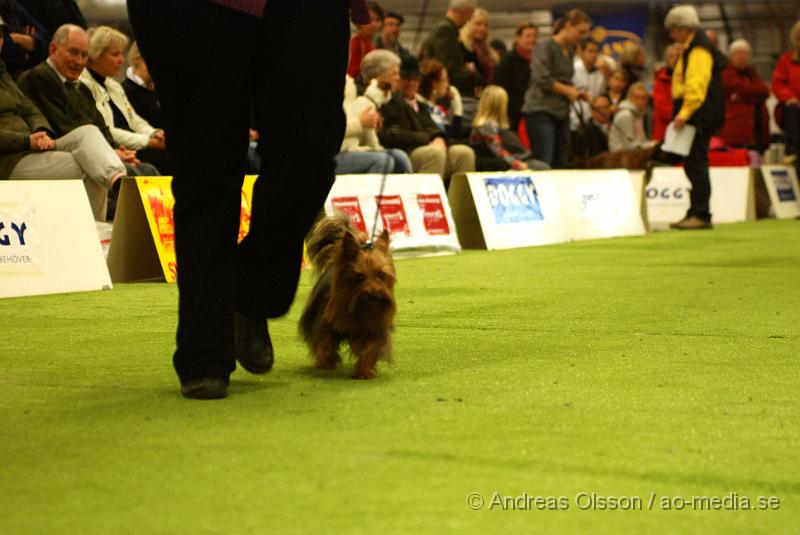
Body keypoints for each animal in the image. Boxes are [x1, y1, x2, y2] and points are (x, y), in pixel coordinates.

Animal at [300, 215, 396, 382]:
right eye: (359, 276)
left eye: (381, 275)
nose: (374, 294)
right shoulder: (325, 322)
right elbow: (325, 341)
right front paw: (326, 361)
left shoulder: (373, 328)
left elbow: (370, 348)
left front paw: (364, 371)